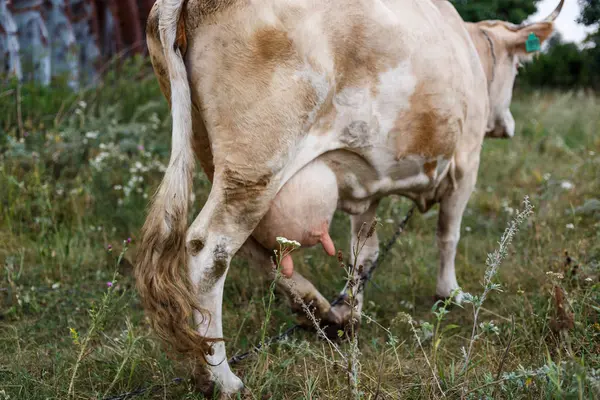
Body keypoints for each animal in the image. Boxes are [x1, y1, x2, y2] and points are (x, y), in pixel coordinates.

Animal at [135, 0, 564, 394]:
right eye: (518, 68)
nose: (507, 125)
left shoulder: (367, 183)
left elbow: (364, 252)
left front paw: (352, 309)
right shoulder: (466, 162)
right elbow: (449, 234)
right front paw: (451, 293)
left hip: (216, 157)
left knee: (255, 248)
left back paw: (319, 311)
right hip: (257, 162)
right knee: (209, 251)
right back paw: (224, 379)